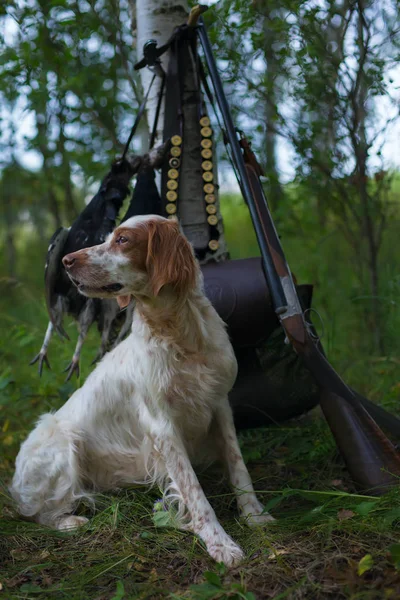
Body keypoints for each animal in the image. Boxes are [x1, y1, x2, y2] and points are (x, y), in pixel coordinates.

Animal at [10, 216, 274, 568]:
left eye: (122, 239)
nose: (65, 260)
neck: (178, 332)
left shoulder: (219, 404)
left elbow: (237, 465)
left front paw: (254, 516)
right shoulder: (162, 426)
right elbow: (194, 491)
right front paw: (220, 543)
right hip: (61, 443)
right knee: (38, 513)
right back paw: (70, 521)